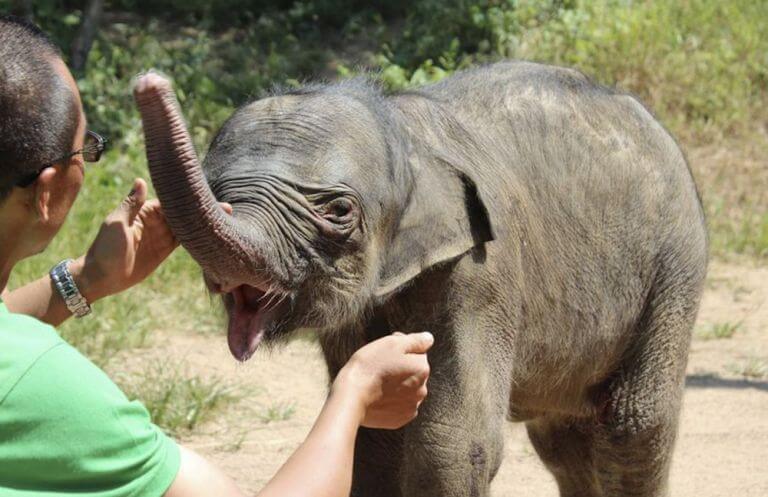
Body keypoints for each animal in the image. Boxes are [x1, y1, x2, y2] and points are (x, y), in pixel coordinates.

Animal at [134, 60, 708, 494]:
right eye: (218, 192)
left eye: (339, 210)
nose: (147, 82)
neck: (402, 132)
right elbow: (373, 439)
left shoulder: (482, 271)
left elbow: (454, 443)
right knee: (563, 441)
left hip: (675, 265)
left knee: (634, 426)